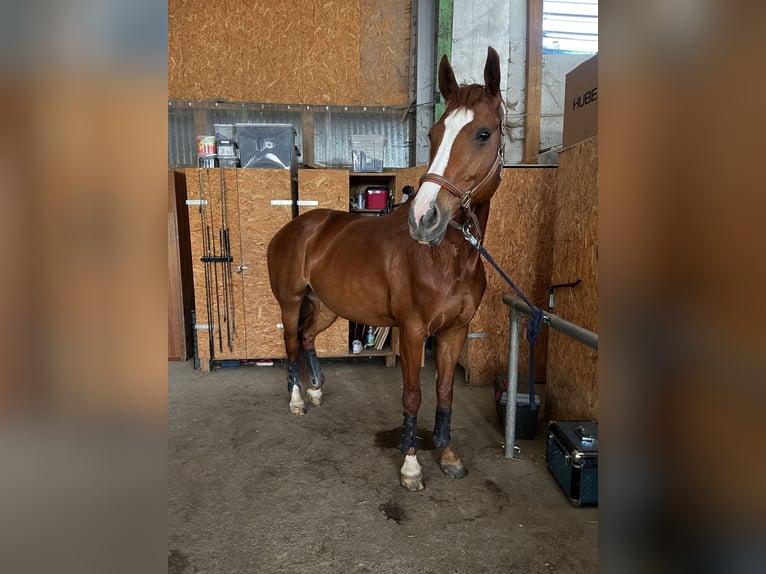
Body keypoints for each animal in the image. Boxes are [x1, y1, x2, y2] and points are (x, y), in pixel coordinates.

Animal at [268, 47, 508, 492]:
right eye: (433, 134)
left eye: (483, 133)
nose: (425, 217)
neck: (448, 259)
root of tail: (295, 228)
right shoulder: (412, 331)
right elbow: (413, 395)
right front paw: (411, 465)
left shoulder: (455, 331)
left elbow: (445, 392)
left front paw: (448, 456)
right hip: (290, 303)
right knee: (291, 344)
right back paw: (297, 400)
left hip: (326, 306)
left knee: (307, 338)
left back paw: (315, 391)